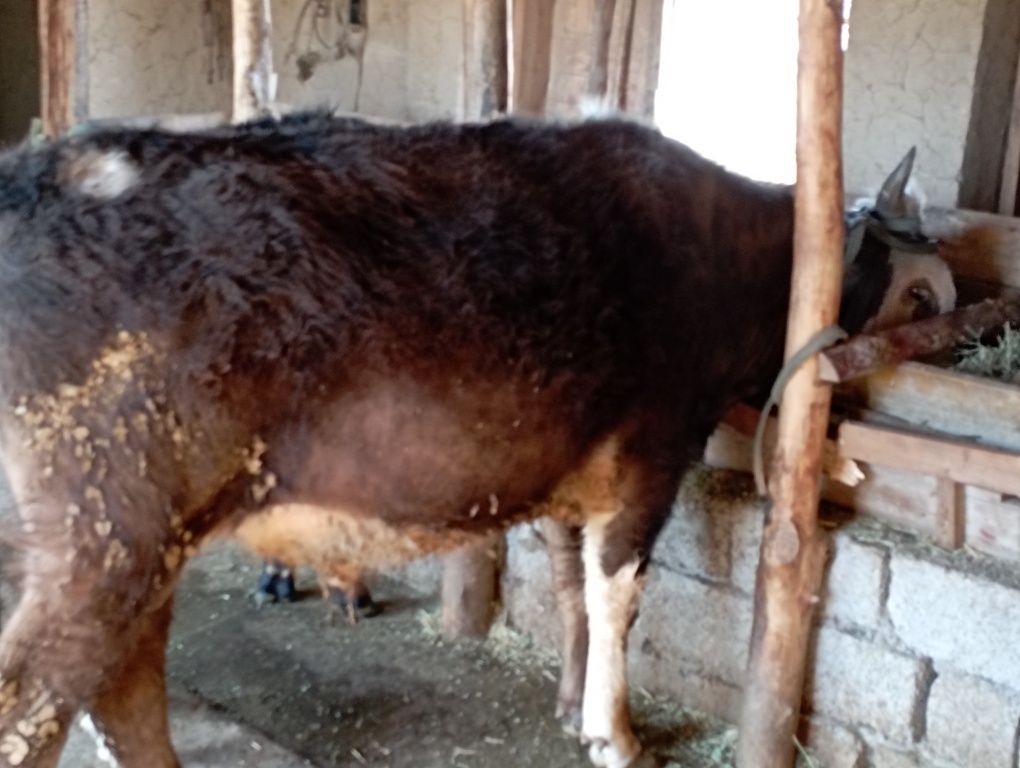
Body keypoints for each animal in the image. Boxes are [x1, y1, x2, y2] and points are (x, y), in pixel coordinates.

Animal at [0, 113, 946, 766]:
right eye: (921, 295)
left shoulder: (574, 464)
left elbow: (568, 585)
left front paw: (568, 702)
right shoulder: (652, 450)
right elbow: (617, 591)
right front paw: (614, 735)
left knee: (123, 689)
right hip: (106, 543)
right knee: (41, 703)